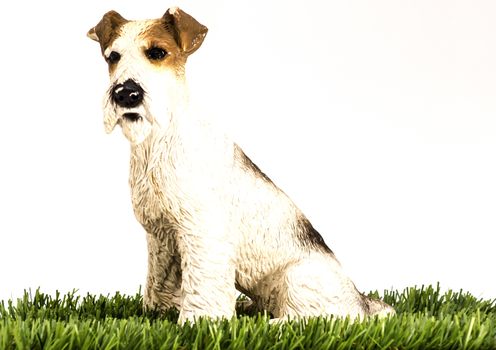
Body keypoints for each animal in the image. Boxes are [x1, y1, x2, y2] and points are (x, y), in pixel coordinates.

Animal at [87, 6, 394, 324]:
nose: (125, 93)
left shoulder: (202, 234)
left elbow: (201, 289)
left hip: (299, 279)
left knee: (319, 316)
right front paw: (158, 313)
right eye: (112, 56)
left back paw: (273, 323)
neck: (159, 142)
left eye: (157, 52)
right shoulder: (162, 238)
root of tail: (362, 303)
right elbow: (160, 283)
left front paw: (197, 321)